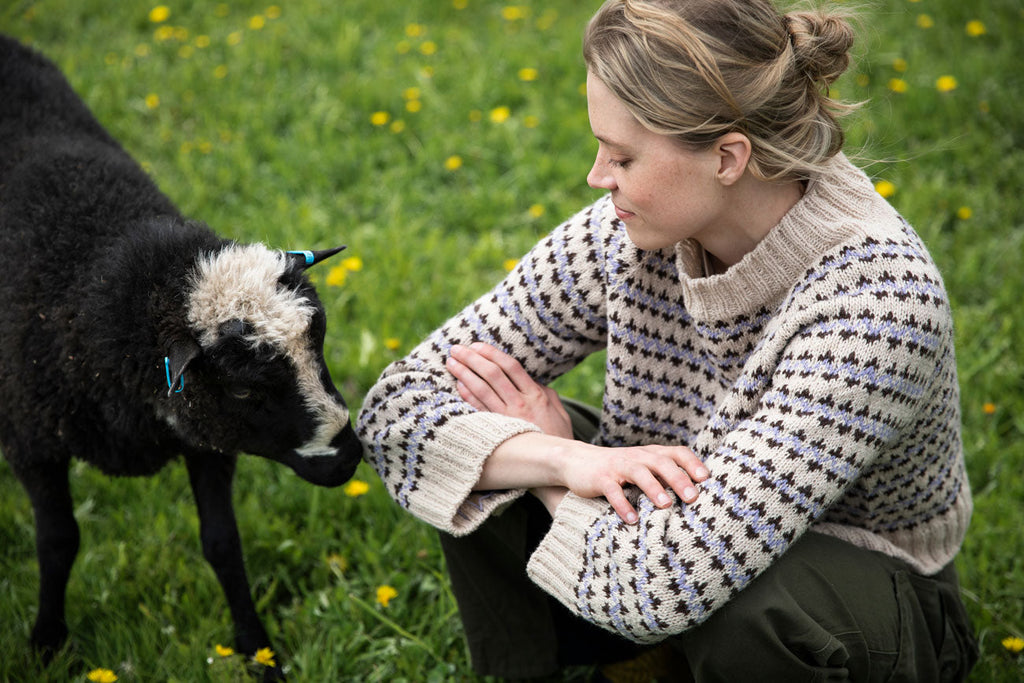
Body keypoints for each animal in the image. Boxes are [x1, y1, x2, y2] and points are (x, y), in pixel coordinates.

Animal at [0, 34, 363, 678]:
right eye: (243, 387)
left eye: (319, 343)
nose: (346, 459)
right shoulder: (31, 438)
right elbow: (58, 542)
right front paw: (45, 644)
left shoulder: (205, 439)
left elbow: (222, 542)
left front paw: (258, 650)